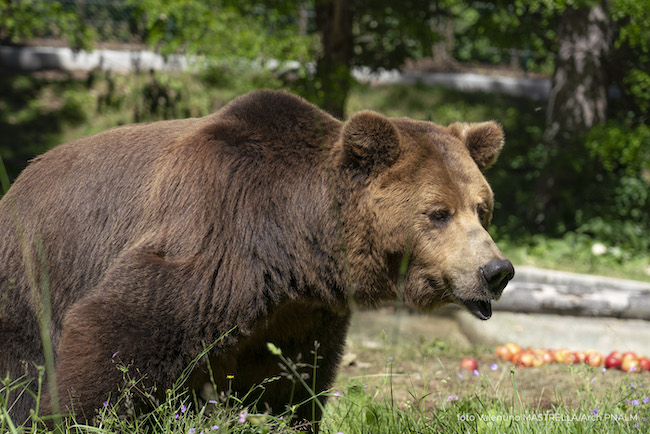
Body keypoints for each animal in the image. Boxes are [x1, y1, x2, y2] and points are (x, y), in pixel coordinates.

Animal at [0, 89, 513, 428]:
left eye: (482, 208)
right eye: (438, 213)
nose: (497, 271)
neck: (297, 247)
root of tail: (17, 182)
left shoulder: (297, 315)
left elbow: (288, 382)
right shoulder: (215, 236)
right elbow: (118, 331)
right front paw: (70, 416)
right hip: (33, 271)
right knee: (21, 362)